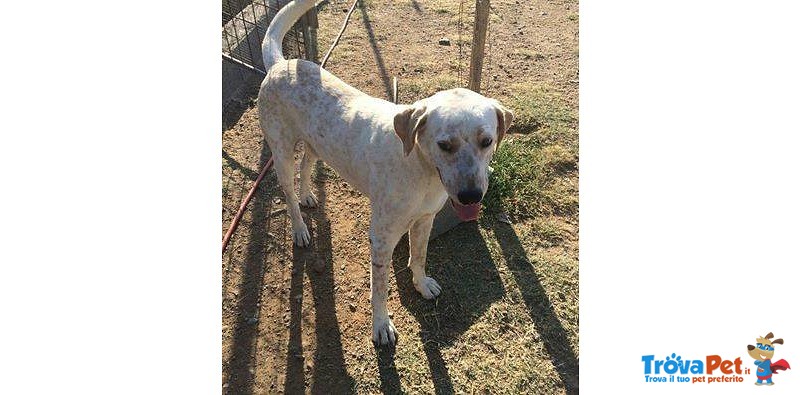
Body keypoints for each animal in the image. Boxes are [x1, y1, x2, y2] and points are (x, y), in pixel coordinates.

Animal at [260, 0, 516, 346]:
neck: (422, 171)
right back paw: (300, 228)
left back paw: (308, 196)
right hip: (282, 152)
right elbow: (379, 289)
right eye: (444, 145)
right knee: (287, 192)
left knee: (307, 165)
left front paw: (422, 284)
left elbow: (419, 257)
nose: (471, 196)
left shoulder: (425, 220)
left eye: (487, 141)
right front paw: (381, 325)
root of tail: (281, 63)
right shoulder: (380, 239)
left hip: (316, 143)